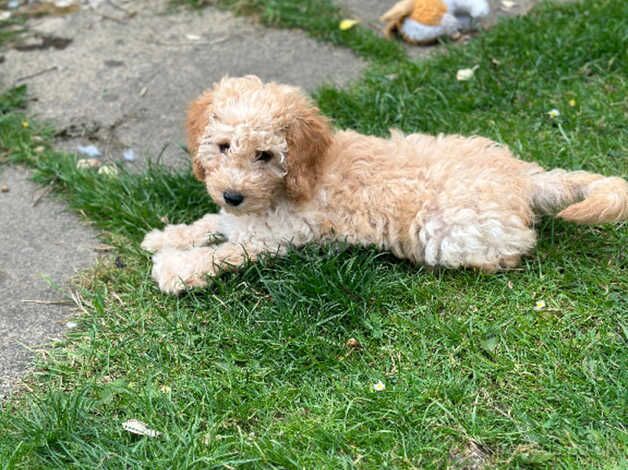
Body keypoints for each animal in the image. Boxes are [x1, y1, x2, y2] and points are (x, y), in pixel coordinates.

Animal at [142, 75, 628, 294]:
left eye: (265, 155)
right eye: (223, 146)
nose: (233, 194)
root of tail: (523, 175)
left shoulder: (274, 238)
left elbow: (223, 252)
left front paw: (176, 268)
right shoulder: (241, 220)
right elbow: (212, 224)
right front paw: (167, 236)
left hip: (449, 231)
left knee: (513, 248)